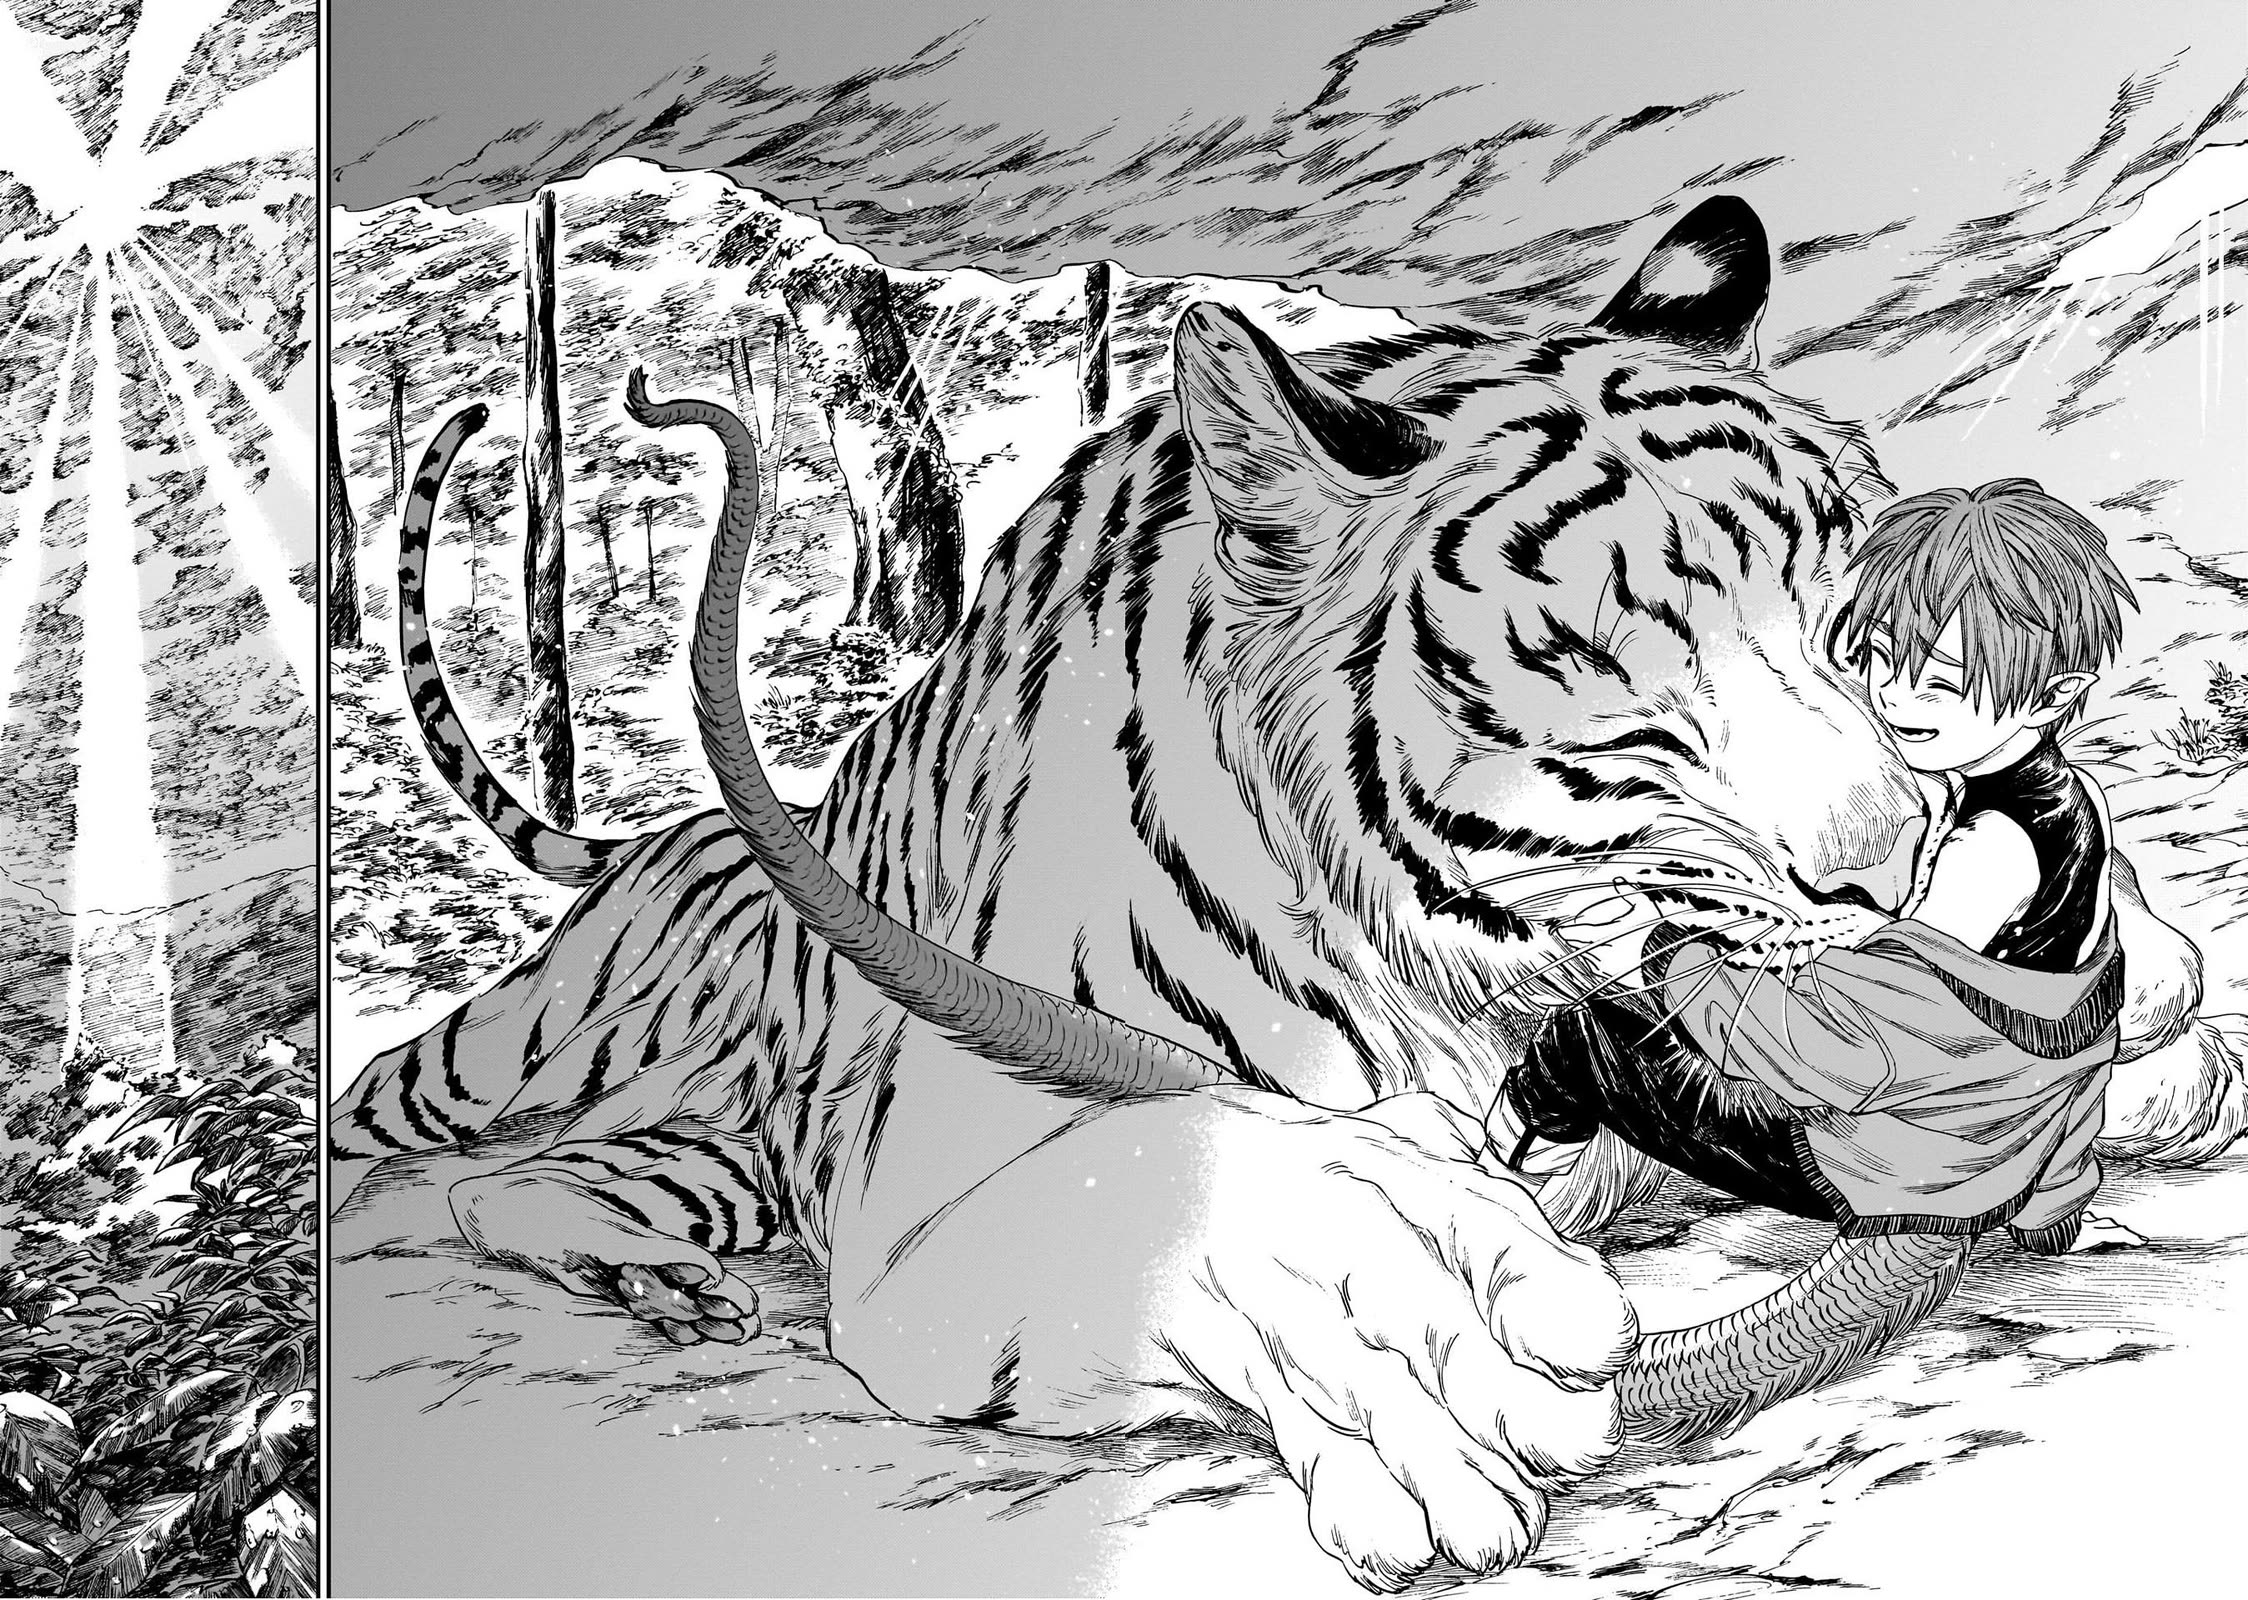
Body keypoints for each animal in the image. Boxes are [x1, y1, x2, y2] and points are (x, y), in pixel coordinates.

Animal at [333, 196, 2201, 1591]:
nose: (1895, 865)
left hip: (705, 1161)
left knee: (531, 1196)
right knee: (421, 1147)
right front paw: (1410, 1341)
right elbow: (1177, 1186)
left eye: (1854, 621)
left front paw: (2142, 1021)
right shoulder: (933, 1190)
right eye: (1622, 691)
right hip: (527, 1059)